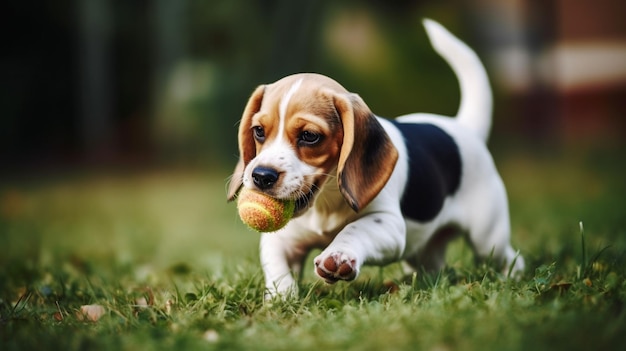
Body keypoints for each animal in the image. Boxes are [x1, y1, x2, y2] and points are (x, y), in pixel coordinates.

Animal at [225, 19, 520, 298]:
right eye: (259, 131)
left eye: (309, 136)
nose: (261, 176)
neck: (325, 201)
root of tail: (464, 127)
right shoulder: (282, 239)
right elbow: (277, 267)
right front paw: (280, 297)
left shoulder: (389, 225)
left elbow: (355, 229)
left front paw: (339, 255)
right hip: (424, 249)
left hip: (487, 236)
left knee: (510, 258)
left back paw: (511, 277)